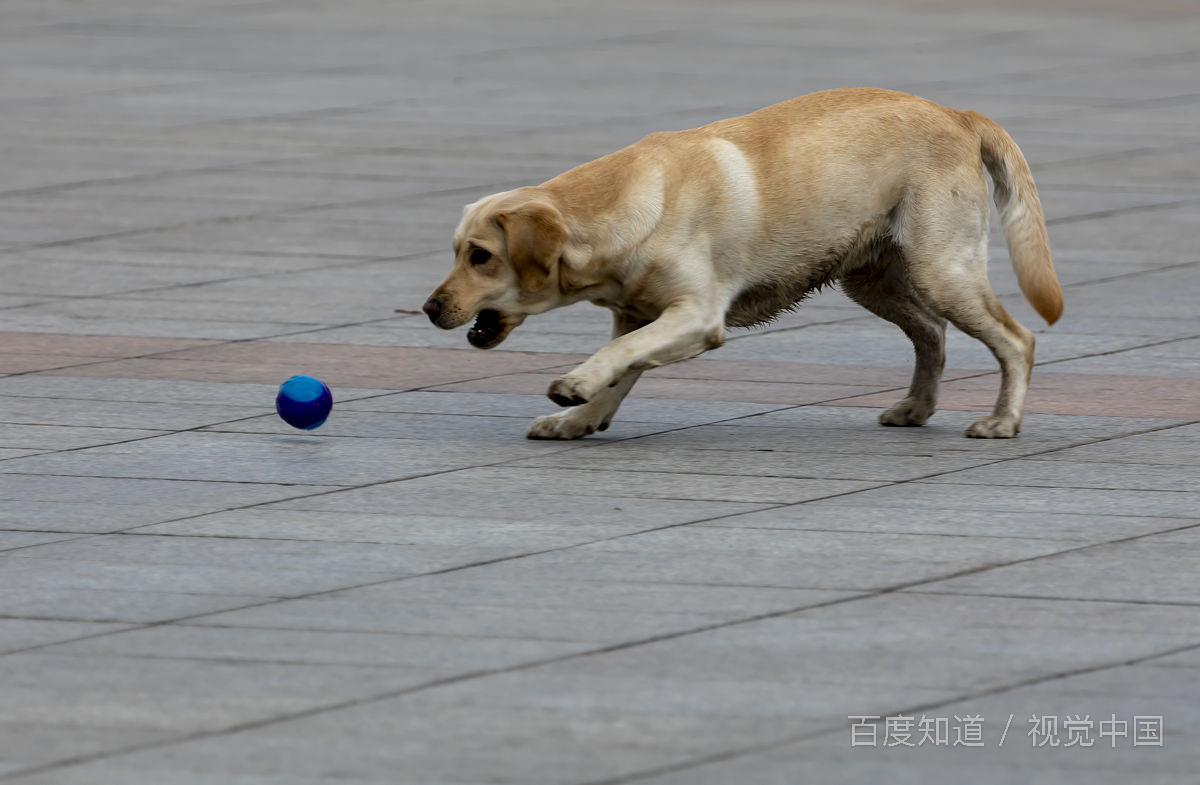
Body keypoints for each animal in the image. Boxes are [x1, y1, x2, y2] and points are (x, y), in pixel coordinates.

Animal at [422, 90, 1060, 441]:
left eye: (481, 256)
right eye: (454, 251)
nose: (429, 308)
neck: (615, 211)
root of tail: (957, 113)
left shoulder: (696, 316)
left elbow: (619, 355)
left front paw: (576, 384)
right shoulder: (640, 315)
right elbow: (624, 363)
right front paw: (582, 418)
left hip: (940, 268)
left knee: (1017, 338)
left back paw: (1003, 421)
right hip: (872, 277)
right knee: (932, 334)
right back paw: (917, 408)